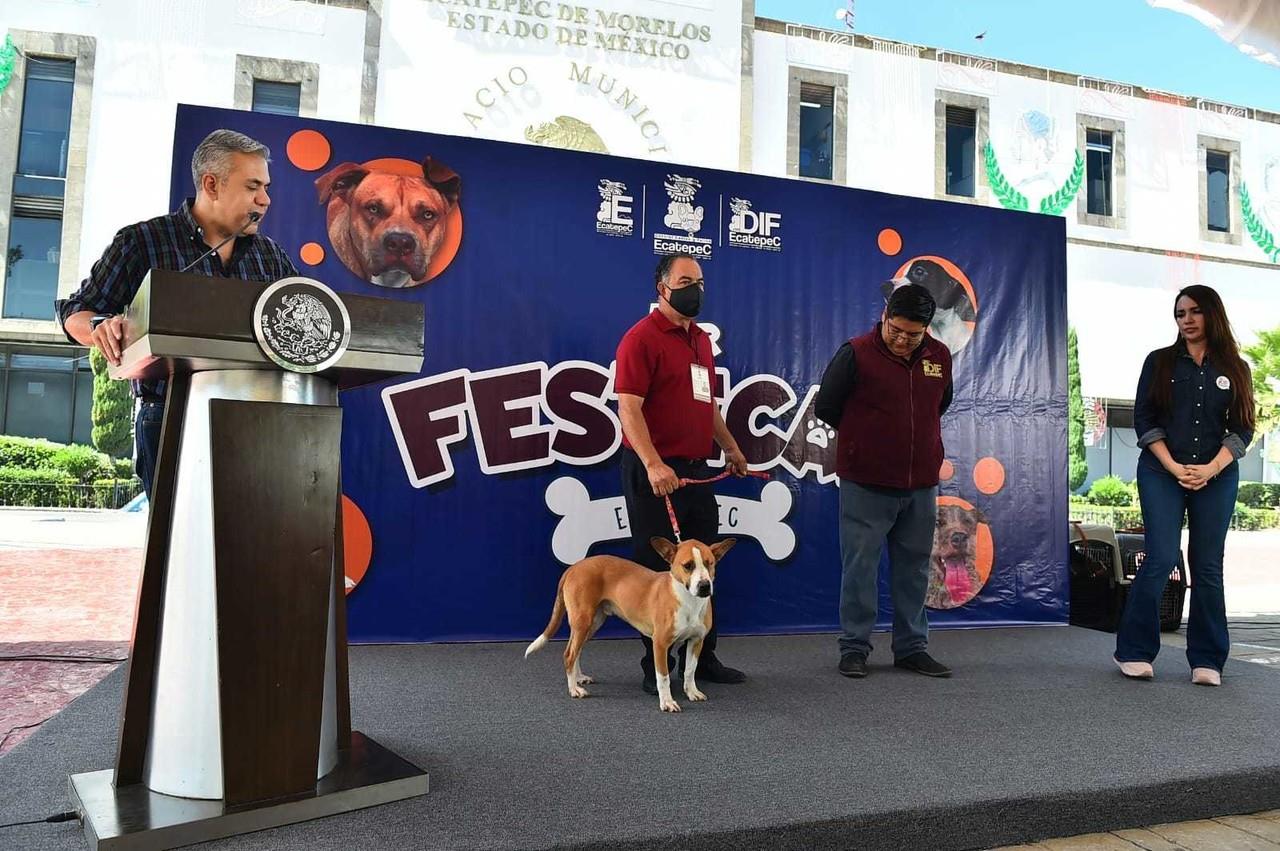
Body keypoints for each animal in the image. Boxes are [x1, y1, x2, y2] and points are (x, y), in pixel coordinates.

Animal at [524, 537, 737, 711]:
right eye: (688, 565)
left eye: (710, 563)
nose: (704, 586)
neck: (688, 600)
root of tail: (574, 567)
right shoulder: (660, 643)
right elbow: (663, 677)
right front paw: (667, 702)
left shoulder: (696, 640)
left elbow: (690, 670)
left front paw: (691, 692)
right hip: (583, 621)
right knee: (569, 654)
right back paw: (574, 689)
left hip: (591, 624)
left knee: (576, 651)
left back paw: (579, 678)